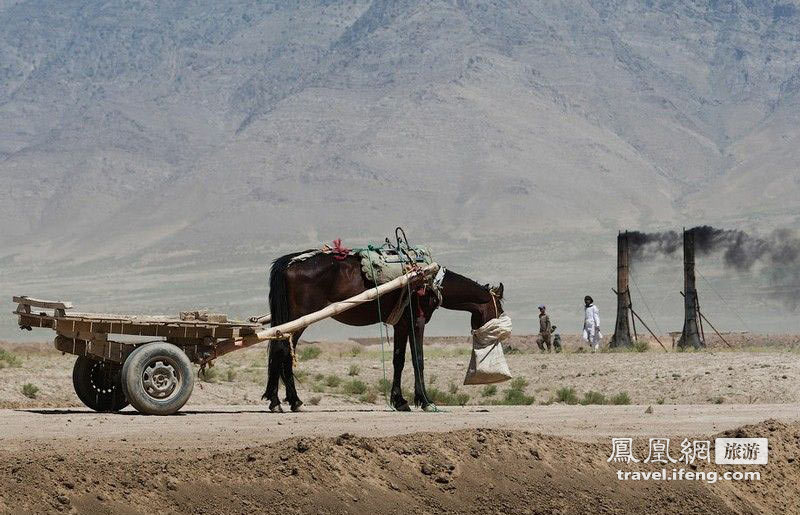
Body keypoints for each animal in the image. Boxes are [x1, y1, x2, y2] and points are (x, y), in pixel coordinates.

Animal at [264, 252, 506, 414]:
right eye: (500, 310)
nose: (503, 336)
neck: (428, 281)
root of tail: (289, 262)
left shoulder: (401, 324)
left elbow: (398, 360)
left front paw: (400, 401)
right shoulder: (417, 321)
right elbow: (418, 359)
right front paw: (426, 401)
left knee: (280, 350)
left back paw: (286, 401)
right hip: (299, 319)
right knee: (282, 350)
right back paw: (283, 401)